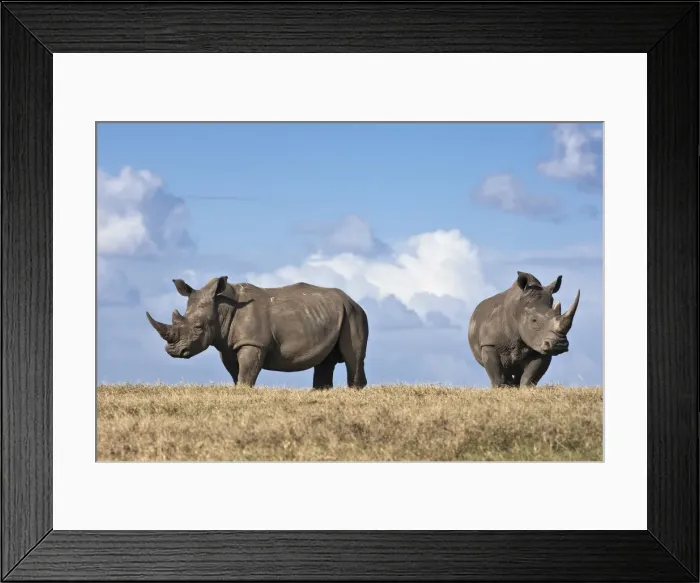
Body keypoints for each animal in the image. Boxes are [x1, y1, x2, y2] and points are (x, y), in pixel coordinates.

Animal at [146, 276, 369, 389]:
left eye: (198, 327)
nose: (173, 351)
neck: (222, 307)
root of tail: (352, 300)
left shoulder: (253, 342)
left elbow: (247, 371)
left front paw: (244, 391)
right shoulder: (227, 346)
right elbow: (236, 372)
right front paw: (238, 390)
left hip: (354, 314)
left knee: (353, 358)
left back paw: (355, 390)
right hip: (335, 314)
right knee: (325, 361)